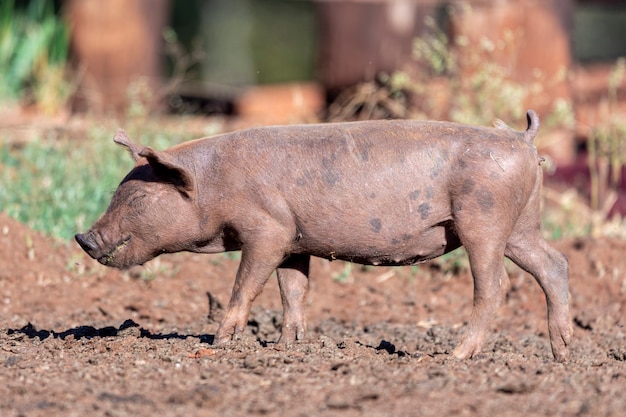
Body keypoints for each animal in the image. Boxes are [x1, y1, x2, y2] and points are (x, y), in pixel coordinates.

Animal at [74, 110, 572, 360]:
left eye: (137, 199)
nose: (82, 238)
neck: (214, 185)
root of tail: (524, 140)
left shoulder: (269, 228)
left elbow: (245, 284)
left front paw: (219, 343)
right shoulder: (295, 239)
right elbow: (293, 290)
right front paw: (288, 346)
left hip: (483, 219)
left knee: (494, 284)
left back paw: (456, 357)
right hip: (522, 224)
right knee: (555, 265)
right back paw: (563, 353)